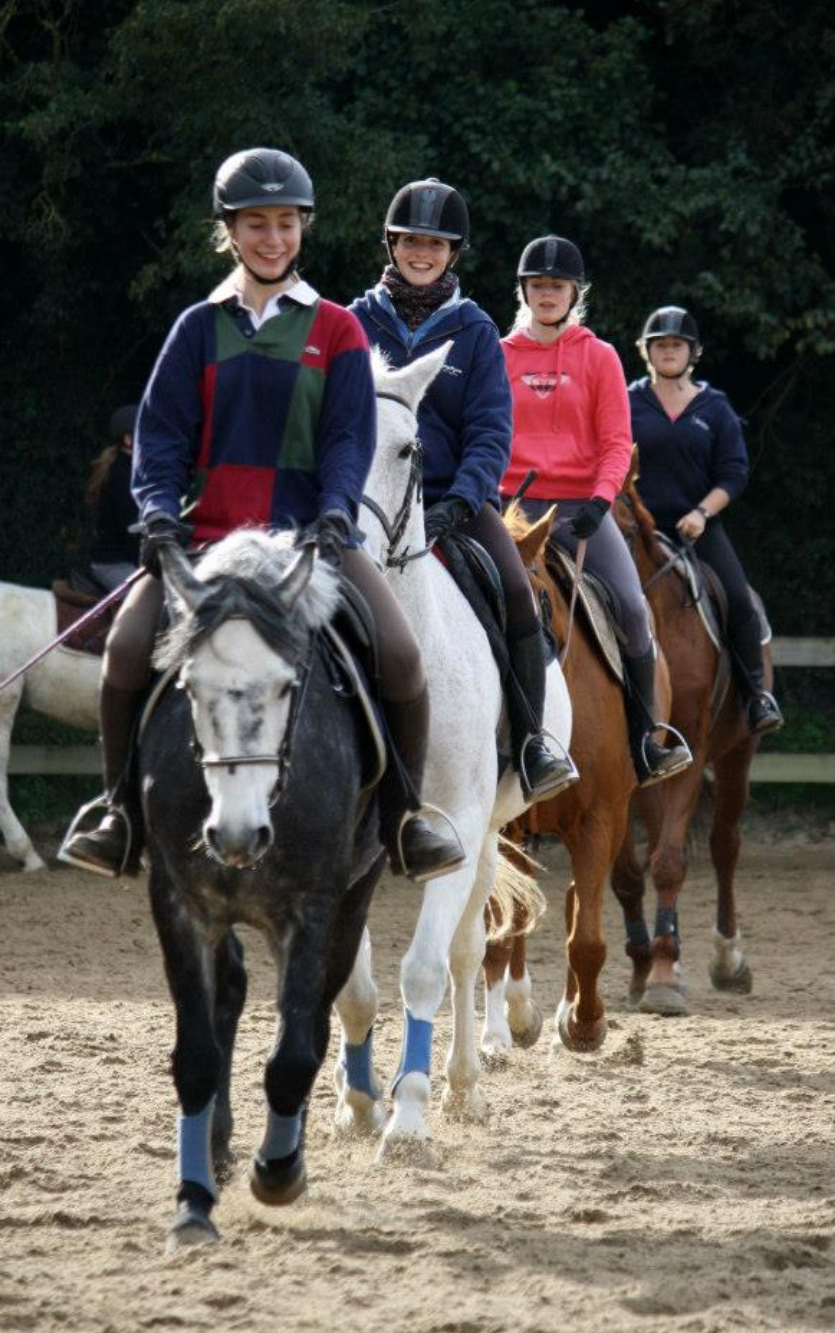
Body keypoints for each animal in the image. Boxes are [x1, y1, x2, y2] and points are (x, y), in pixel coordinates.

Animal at [145, 527, 384, 1247]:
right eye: (189, 686)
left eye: (285, 687)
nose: (236, 834)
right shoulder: (179, 904)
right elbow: (195, 1055)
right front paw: (192, 1202)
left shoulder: (312, 910)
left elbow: (294, 1051)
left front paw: (278, 1171)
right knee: (230, 989)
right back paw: (217, 1145)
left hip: (351, 901)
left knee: (313, 1019)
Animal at [332, 346, 570, 1157]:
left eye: (408, 448)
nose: (344, 544)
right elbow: (353, 983)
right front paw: (356, 1103)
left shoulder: (458, 828)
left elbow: (427, 970)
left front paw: (405, 1119)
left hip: (487, 831)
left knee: (469, 951)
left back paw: (463, 1082)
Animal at [477, 503, 648, 1055]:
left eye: (542, 600)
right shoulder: (503, 826)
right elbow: (502, 928)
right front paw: (498, 1034)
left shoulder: (600, 816)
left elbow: (587, 940)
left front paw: (585, 1023)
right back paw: (518, 1013)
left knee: (576, 898)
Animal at [605, 463, 768, 1013]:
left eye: (627, 533)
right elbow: (628, 871)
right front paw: (646, 965)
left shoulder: (692, 752)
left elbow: (671, 861)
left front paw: (661, 977)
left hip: (739, 752)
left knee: (724, 846)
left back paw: (727, 960)